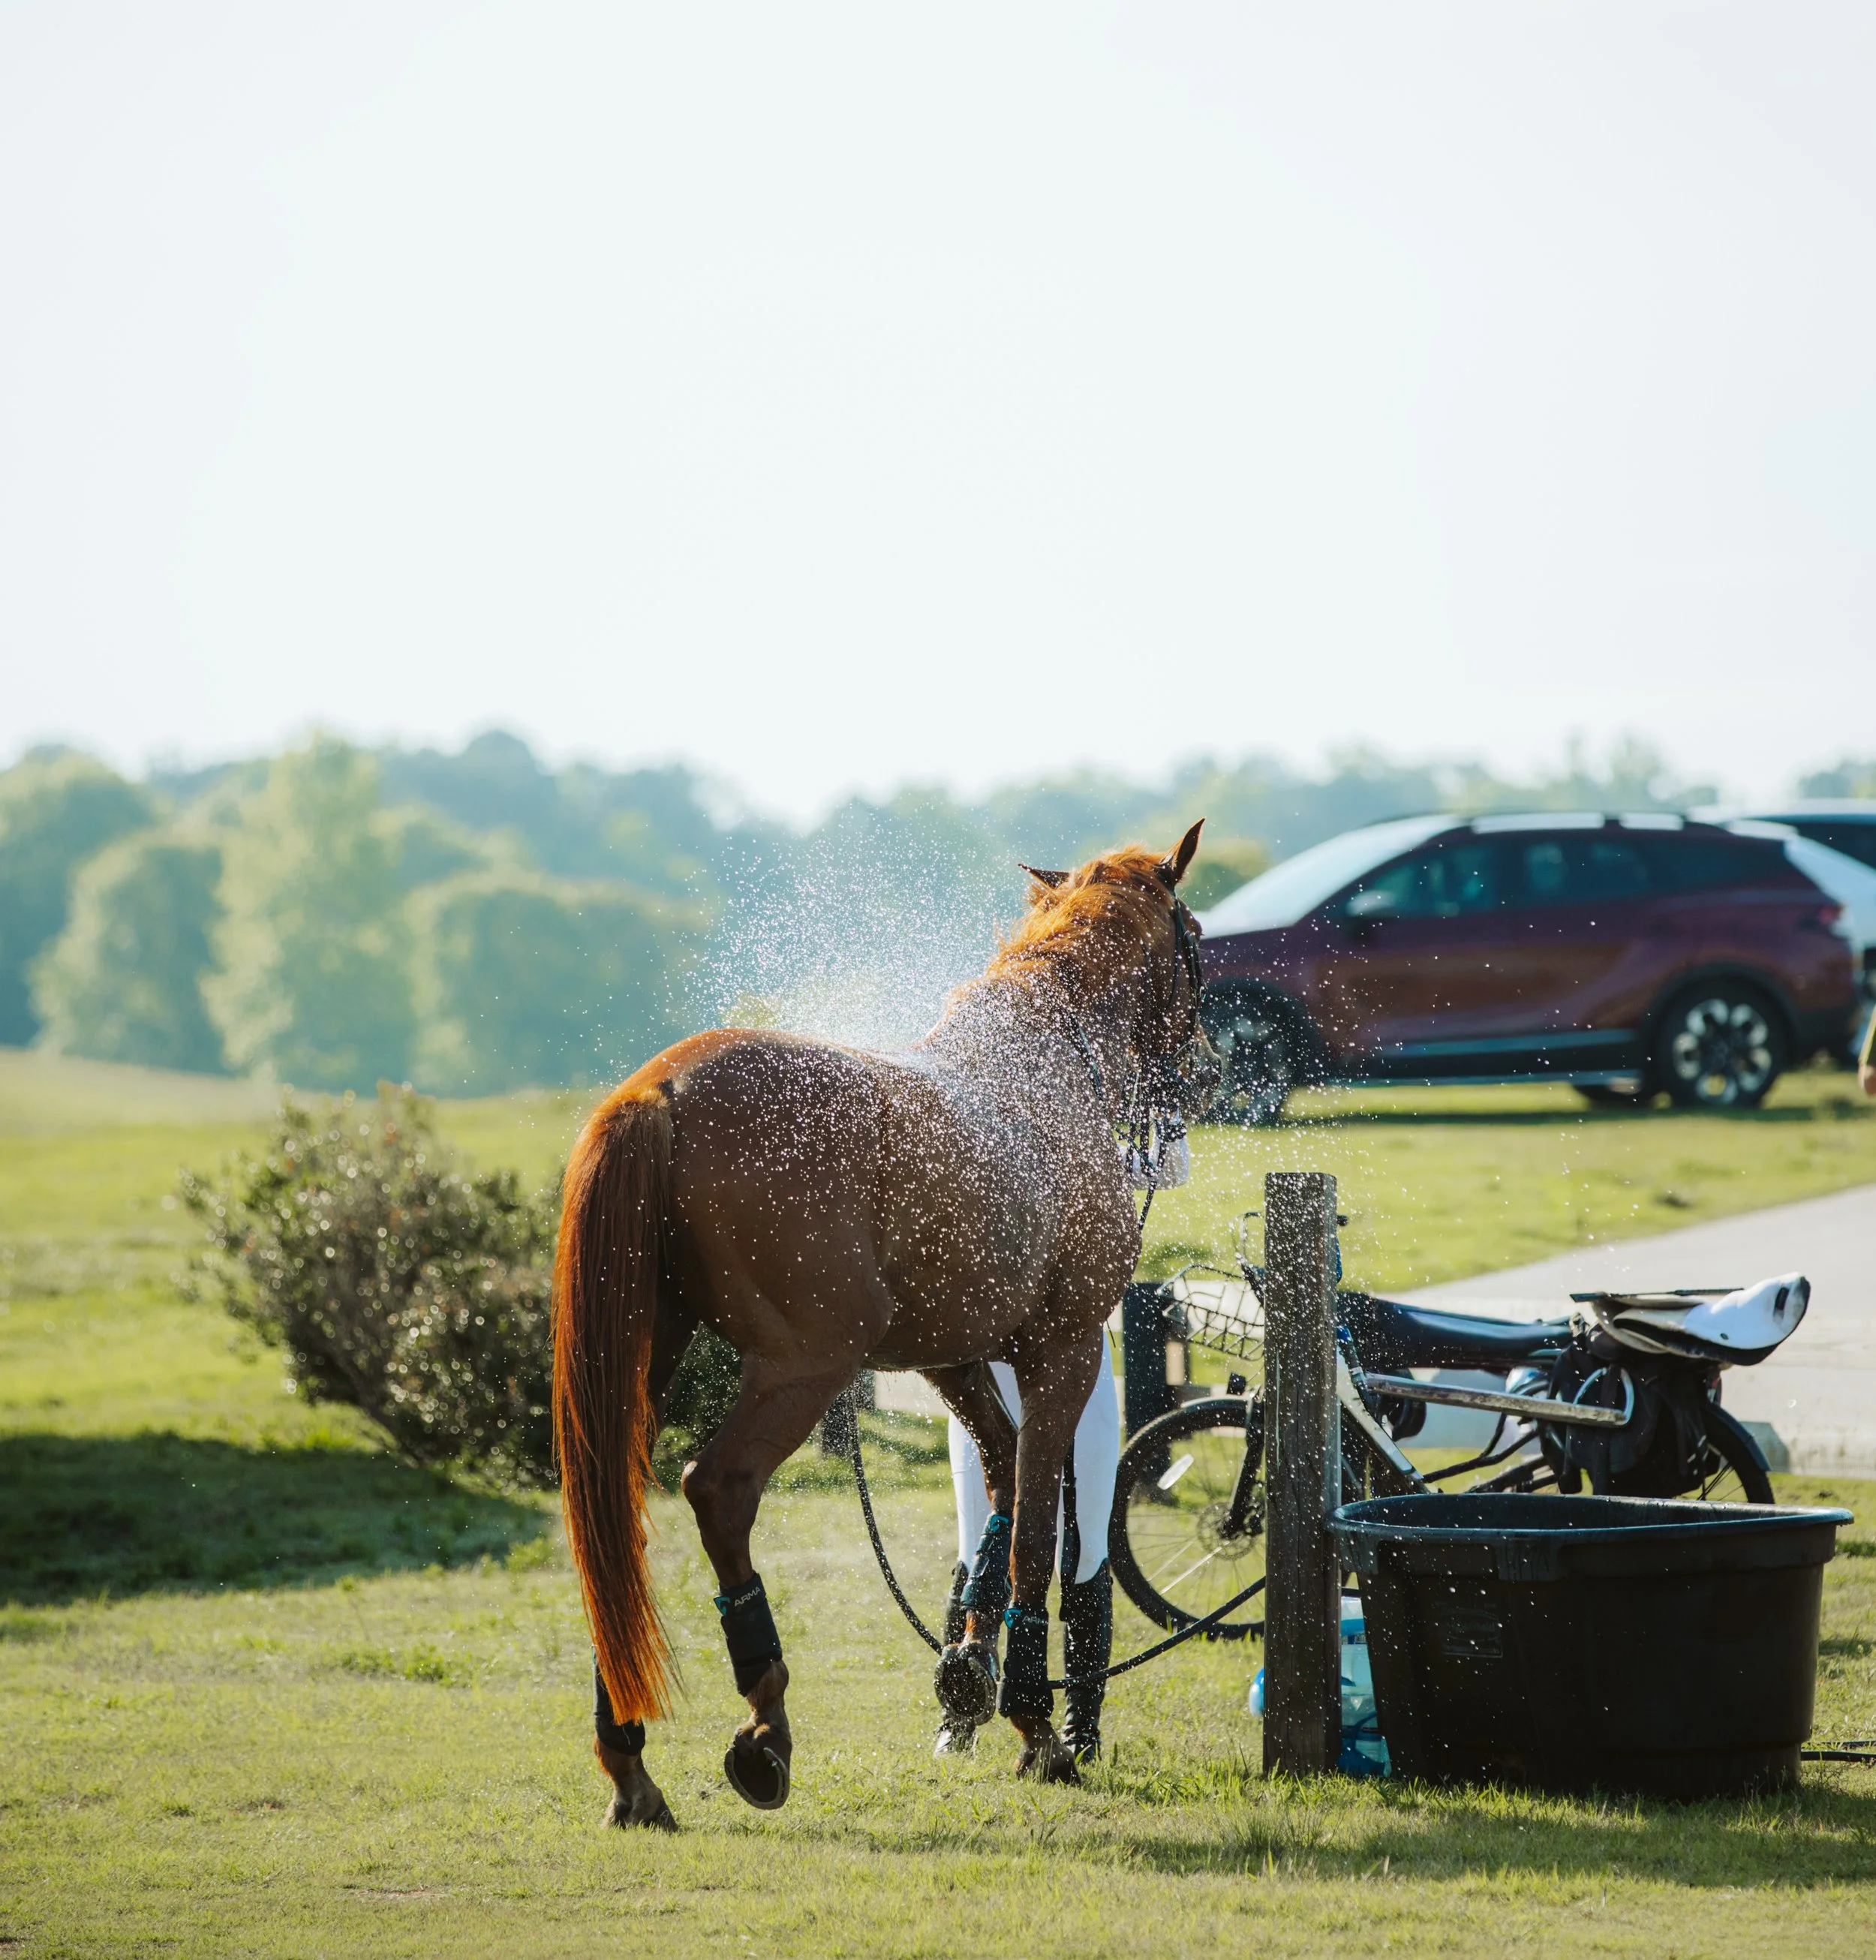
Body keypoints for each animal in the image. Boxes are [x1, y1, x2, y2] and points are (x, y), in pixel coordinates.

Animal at [553, 821, 1216, 1828]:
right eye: (1197, 937)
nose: (1208, 1070)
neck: (1049, 1057)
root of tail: (657, 1092)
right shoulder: (1059, 1350)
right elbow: (1033, 1529)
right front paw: (1035, 1723)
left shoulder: (951, 1354)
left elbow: (1000, 1472)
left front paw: (971, 1668)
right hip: (806, 1364)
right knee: (719, 1490)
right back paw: (765, 1724)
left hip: (646, 1364)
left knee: (614, 1516)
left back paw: (628, 1756)